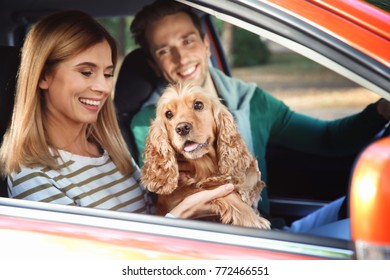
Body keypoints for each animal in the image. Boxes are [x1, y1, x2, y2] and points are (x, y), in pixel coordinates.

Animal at [141, 81, 272, 230]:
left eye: (198, 105)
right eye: (168, 114)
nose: (182, 128)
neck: (205, 165)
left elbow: (248, 177)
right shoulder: (180, 195)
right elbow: (216, 190)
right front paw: (252, 220)